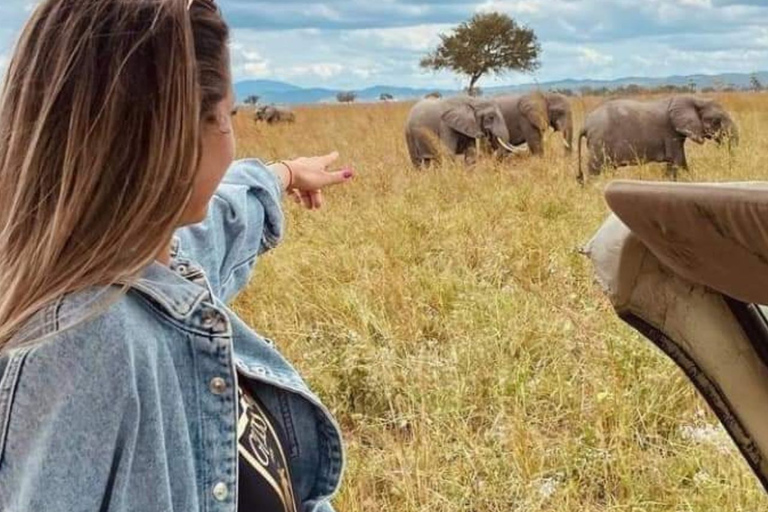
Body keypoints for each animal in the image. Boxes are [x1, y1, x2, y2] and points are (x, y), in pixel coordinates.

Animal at [576, 94, 736, 182]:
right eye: (716, 121)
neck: (696, 99)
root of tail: (585, 124)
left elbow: (675, 163)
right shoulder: (671, 132)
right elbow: (678, 161)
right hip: (599, 143)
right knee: (596, 170)